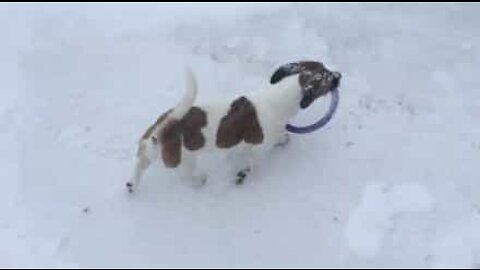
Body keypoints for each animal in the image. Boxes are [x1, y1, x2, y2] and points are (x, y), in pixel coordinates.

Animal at [125, 61, 340, 192]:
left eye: (325, 66)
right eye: (328, 78)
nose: (340, 75)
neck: (279, 96)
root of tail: (165, 127)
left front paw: (283, 138)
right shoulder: (259, 149)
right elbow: (254, 164)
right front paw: (247, 175)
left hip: (149, 149)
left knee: (139, 164)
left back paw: (131, 184)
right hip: (184, 161)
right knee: (185, 178)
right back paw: (199, 180)